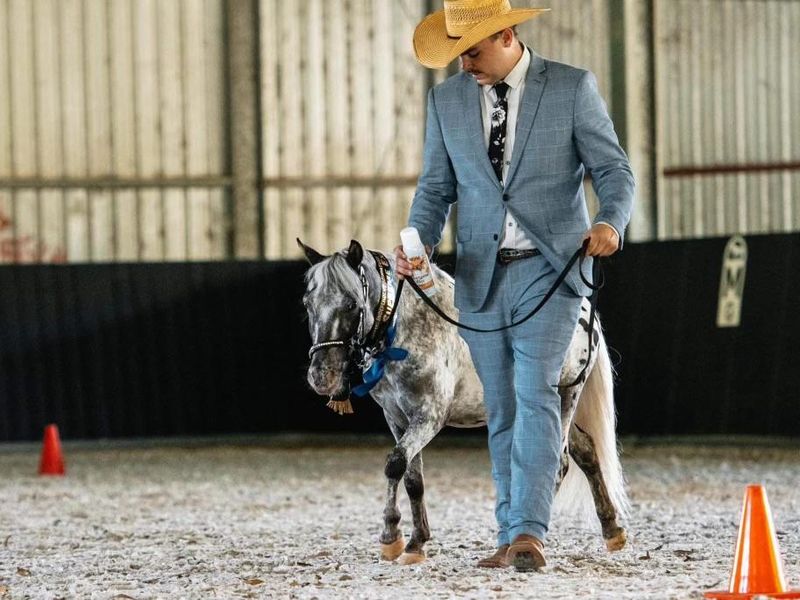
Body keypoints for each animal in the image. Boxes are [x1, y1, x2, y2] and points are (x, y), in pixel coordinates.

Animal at [298, 238, 628, 566]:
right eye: (308, 304)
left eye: (352, 304)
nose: (321, 376)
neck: (406, 331)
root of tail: (586, 313)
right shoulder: (397, 416)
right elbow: (412, 478)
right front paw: (416, 543)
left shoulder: (429, 416)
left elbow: (395, 464)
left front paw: (391, 537)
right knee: (585, 450)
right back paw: (612, 530)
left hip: (563, 399)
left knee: (558, 463)